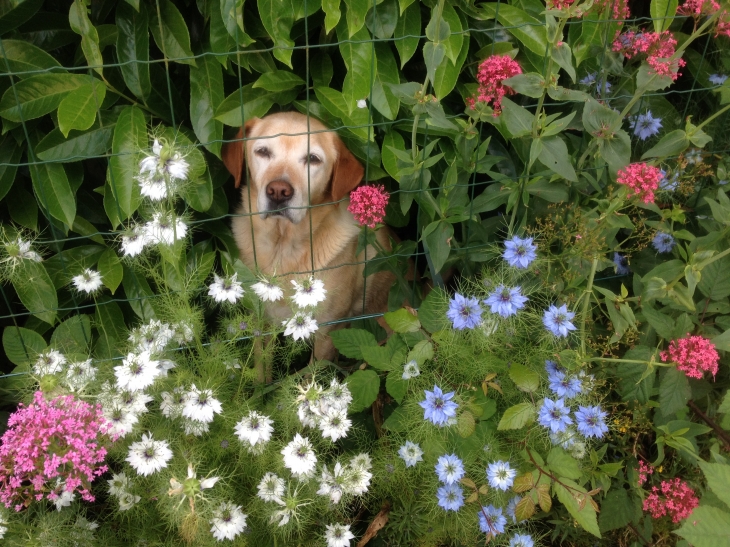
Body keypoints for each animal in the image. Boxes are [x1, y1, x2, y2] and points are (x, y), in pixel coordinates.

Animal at [220, 112, 392, 360]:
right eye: (263, 151)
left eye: (313, 159)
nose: (278, 192)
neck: (282, 247)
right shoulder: (260, 321)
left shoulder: (327, 331)